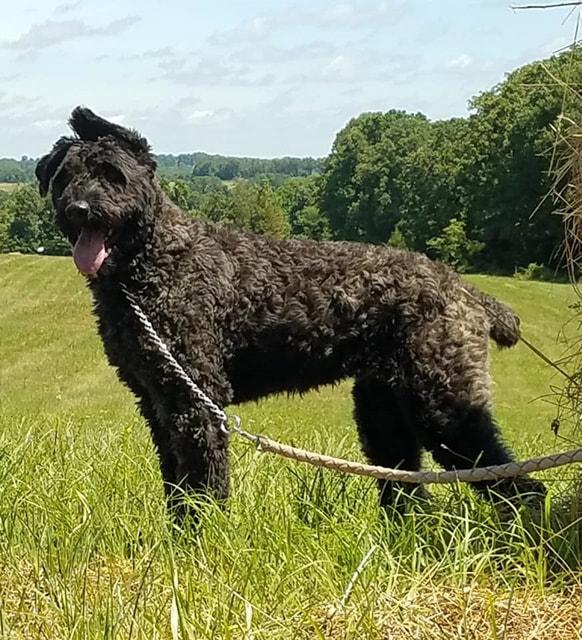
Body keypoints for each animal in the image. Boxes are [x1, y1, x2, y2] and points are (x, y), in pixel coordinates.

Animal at [35, 107, 548, 516]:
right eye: (65, 176)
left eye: (112, 173)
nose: (80, 208)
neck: (153, 262)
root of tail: (462, 286)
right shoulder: (159, 402)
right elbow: (175, 488)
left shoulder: (198, 402)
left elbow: (203, 489)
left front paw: (200, 547)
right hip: (385, 411)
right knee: (409, 487)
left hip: (446, 409)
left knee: (520, 485)